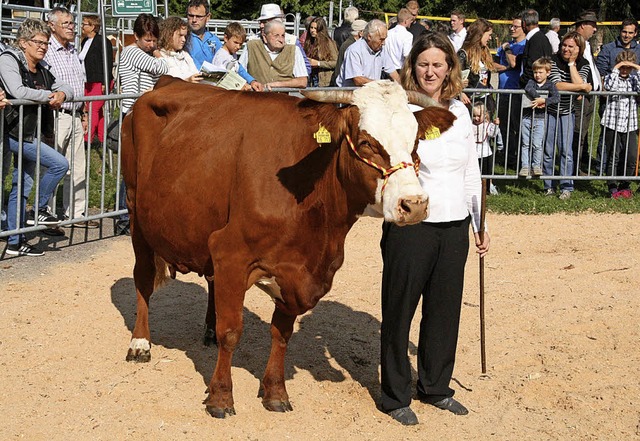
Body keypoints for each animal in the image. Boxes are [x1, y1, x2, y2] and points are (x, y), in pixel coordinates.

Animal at [120, 75, 456, 416]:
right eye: (366, 142)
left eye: (415, 144)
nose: (414, 204)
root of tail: (167, 82)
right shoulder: (230, 252)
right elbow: (232, 331)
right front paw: (220, 397)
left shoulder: (294, 270)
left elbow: (281, 335)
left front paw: (275, 392)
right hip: (136, 215)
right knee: (142, 279)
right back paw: (140, 343)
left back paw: (207, 331)